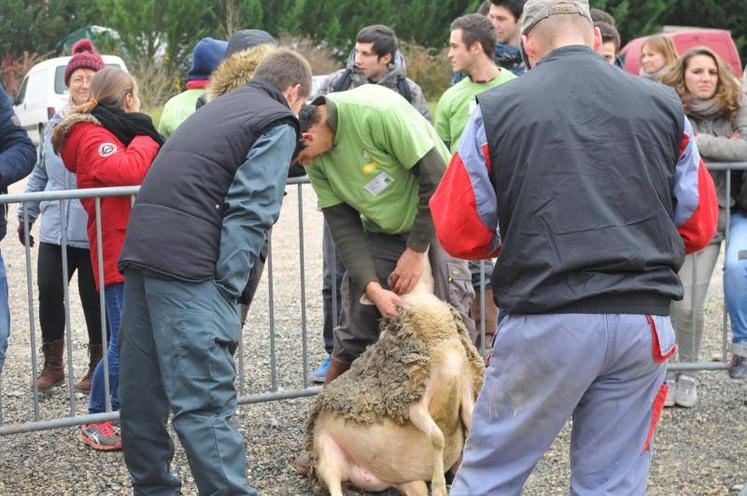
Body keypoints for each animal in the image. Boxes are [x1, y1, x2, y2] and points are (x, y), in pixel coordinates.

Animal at [302, 256, 486, 496]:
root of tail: (364, 476)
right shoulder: (413, 401)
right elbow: (438, 438)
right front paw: (439, 486)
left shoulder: (465, 389)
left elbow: (474, 428)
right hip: (326, 455)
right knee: (334, 486)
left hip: (409, 481)